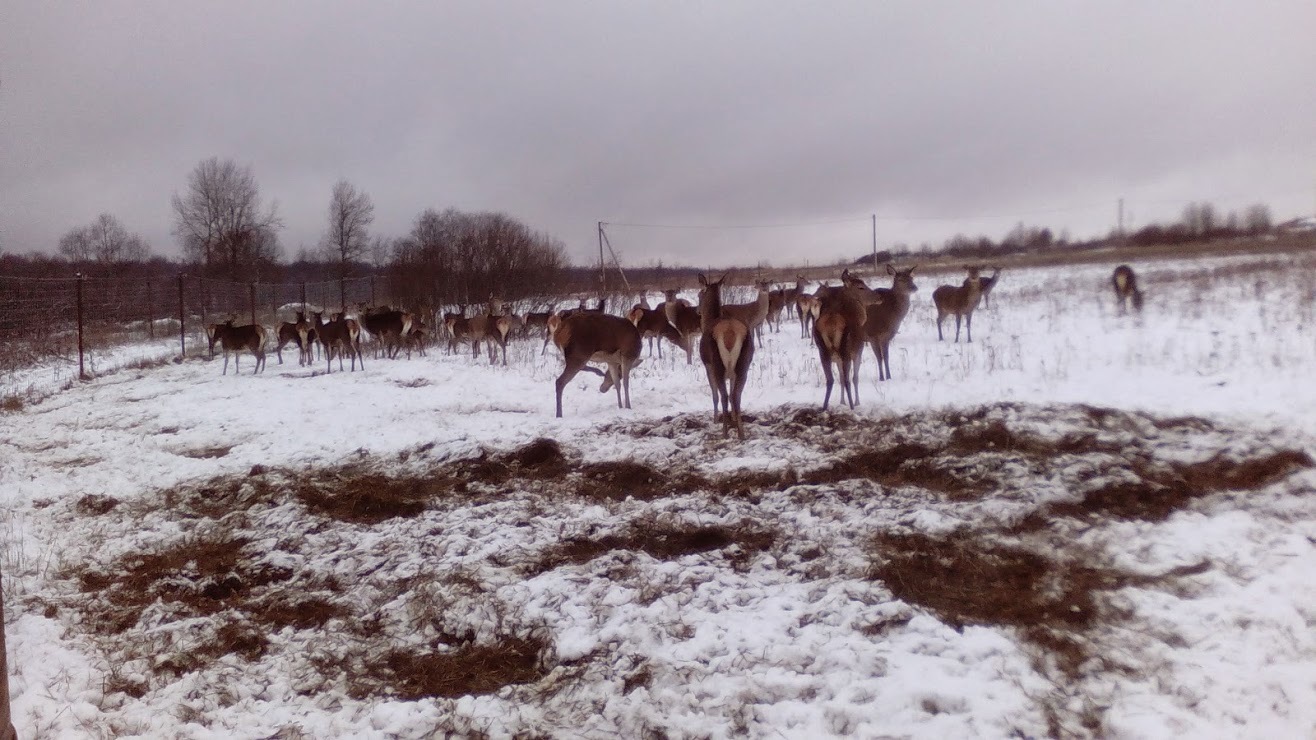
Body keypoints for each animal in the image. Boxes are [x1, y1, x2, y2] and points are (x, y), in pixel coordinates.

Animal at [694, 275, 758, 437]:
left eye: (699, 294)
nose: (697, 310)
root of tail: (730, 332)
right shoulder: (732, 373)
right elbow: (732, 393)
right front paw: (734, 419)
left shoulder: (707, 365)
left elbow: (715, 394)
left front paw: (715, 419)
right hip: (744, 363)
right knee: (736, 395)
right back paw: (741, 433)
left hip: (717, 364)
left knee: (723, 396)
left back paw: (724, 432)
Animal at [810, 269, 884, 408]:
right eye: (861, 287)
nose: (879, 297)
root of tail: (831, 323)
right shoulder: (858, 350)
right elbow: (854, 378)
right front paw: (856, 402)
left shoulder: (838, 359)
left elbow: (840, 378)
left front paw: (842, 402)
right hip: (846, 350)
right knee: (847, 379)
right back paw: (852, 406)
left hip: (823, 352)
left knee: (831, 379)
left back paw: (824, 407)